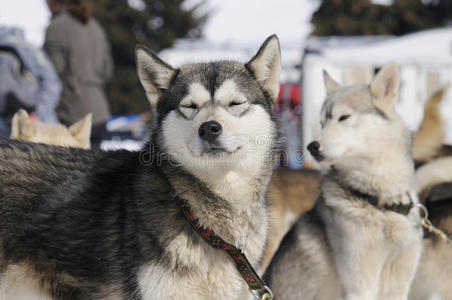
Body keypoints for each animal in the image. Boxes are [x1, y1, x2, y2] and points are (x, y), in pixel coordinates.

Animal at [264, 62, 424, 298]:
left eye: (344, 117)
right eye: (322, 123)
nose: (312, 146)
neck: (379, 202)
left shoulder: (399, 286)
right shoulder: (360, 287)